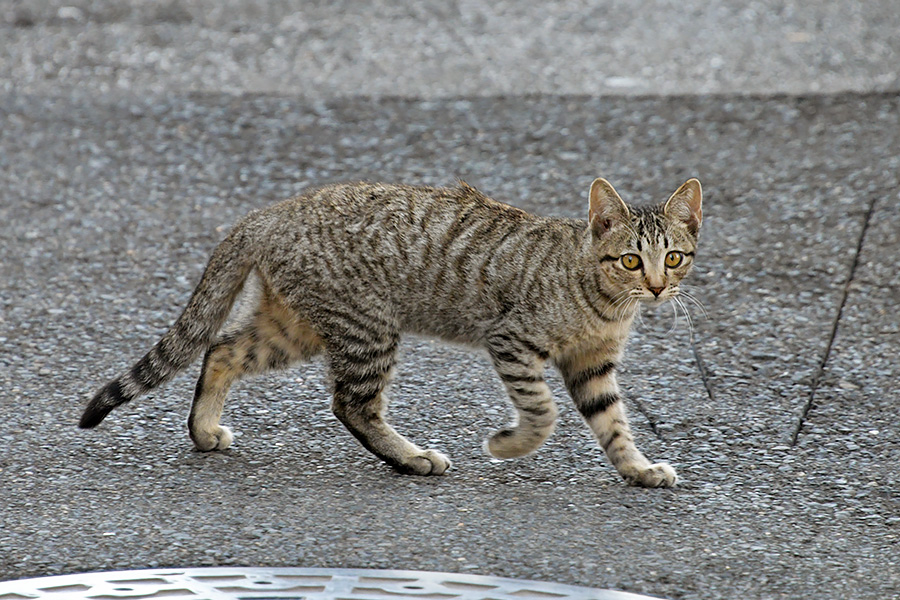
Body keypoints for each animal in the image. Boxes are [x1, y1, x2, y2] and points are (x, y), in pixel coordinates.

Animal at [82, 177, 704, 488]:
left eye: (673, 257)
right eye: (630, 260)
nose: (655, 287)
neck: (604, 302)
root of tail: (269, 213)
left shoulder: (592, 363)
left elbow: (612, 422)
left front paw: (637, 469)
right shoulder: (512, 339)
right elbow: (542, 411)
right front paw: (508, 445)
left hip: (295, 326)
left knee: (222, 348)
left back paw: (204, 429)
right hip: (367, 326)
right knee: (351, 405)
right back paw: (410, 458)